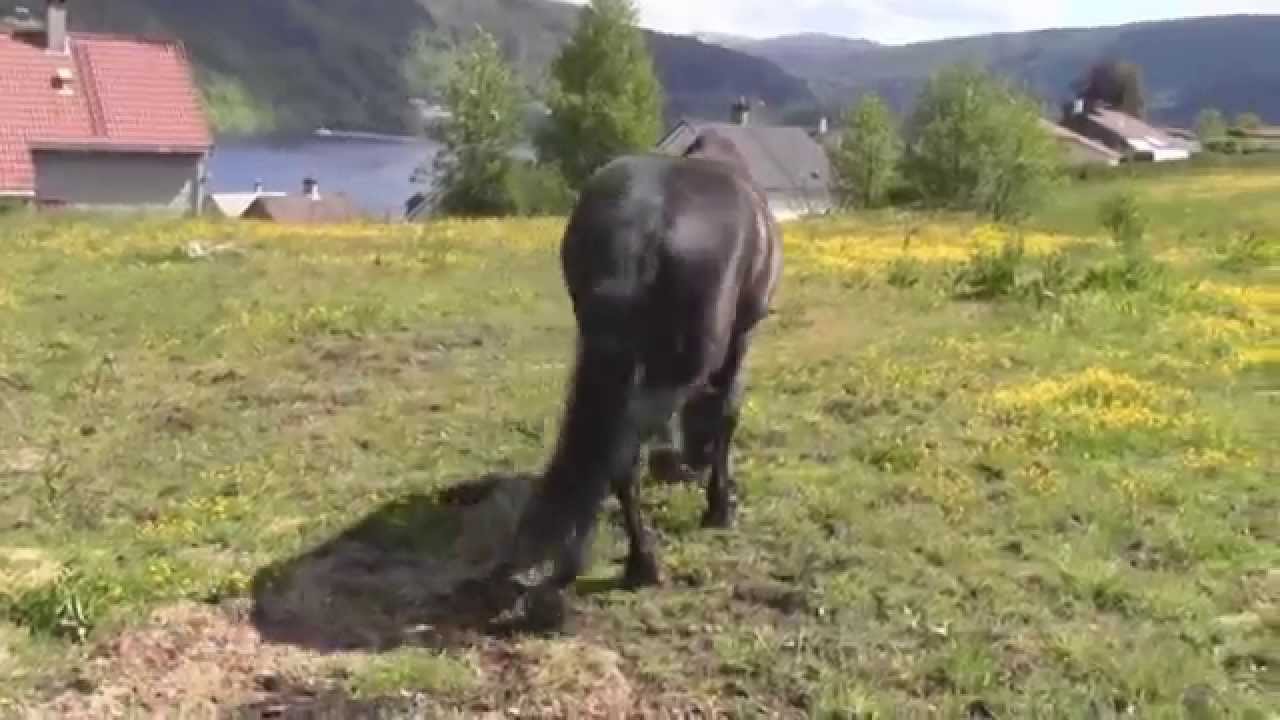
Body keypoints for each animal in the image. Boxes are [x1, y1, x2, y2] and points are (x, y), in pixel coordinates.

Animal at [483, 129, 782, 625]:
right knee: (622, 453)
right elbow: (726, 414)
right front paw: (721, 506)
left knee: (614, 456)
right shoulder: (741, 337)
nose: (689, 466)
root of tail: (641, 224)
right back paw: (631, 566)